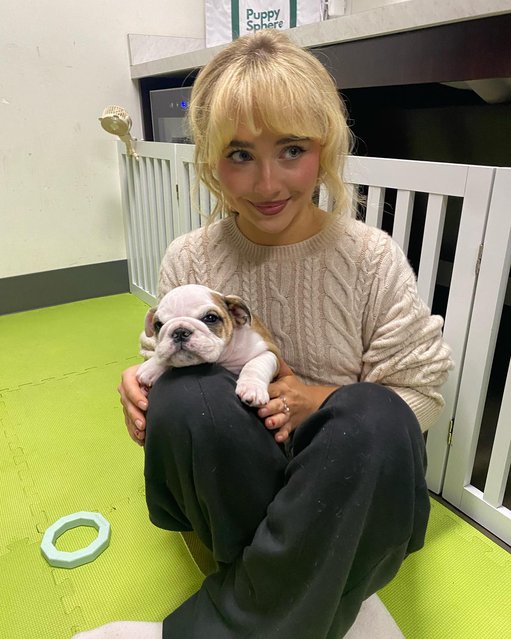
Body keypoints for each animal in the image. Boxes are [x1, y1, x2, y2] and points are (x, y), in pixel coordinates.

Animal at [136, 284, 280, 404]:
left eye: (210, 318)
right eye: (158, 324)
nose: (180, 332)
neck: (222, 357)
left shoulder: (270, 351)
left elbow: (255, 365)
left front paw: (251, 387)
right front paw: (151, 366)